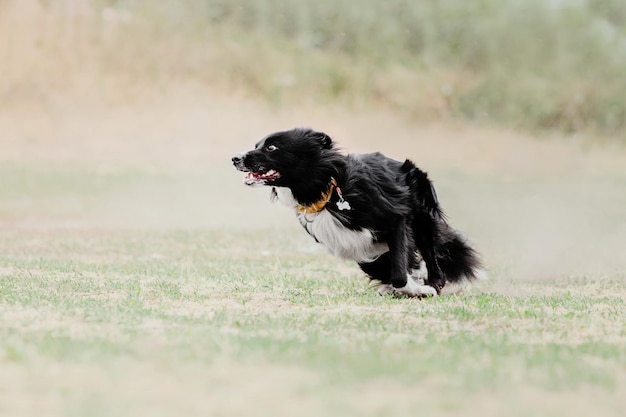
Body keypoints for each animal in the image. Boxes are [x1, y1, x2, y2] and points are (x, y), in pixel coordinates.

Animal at [232, 127, 480, 296]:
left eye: (271, 147)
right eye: (257, 144)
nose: (235, 158)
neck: (327, 190)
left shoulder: (395, 218)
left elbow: (400, 272)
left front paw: (418, 289)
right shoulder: (355, 245)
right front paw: (407, 286)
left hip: (421, 218)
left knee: (430, 254)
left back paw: (433, 284)